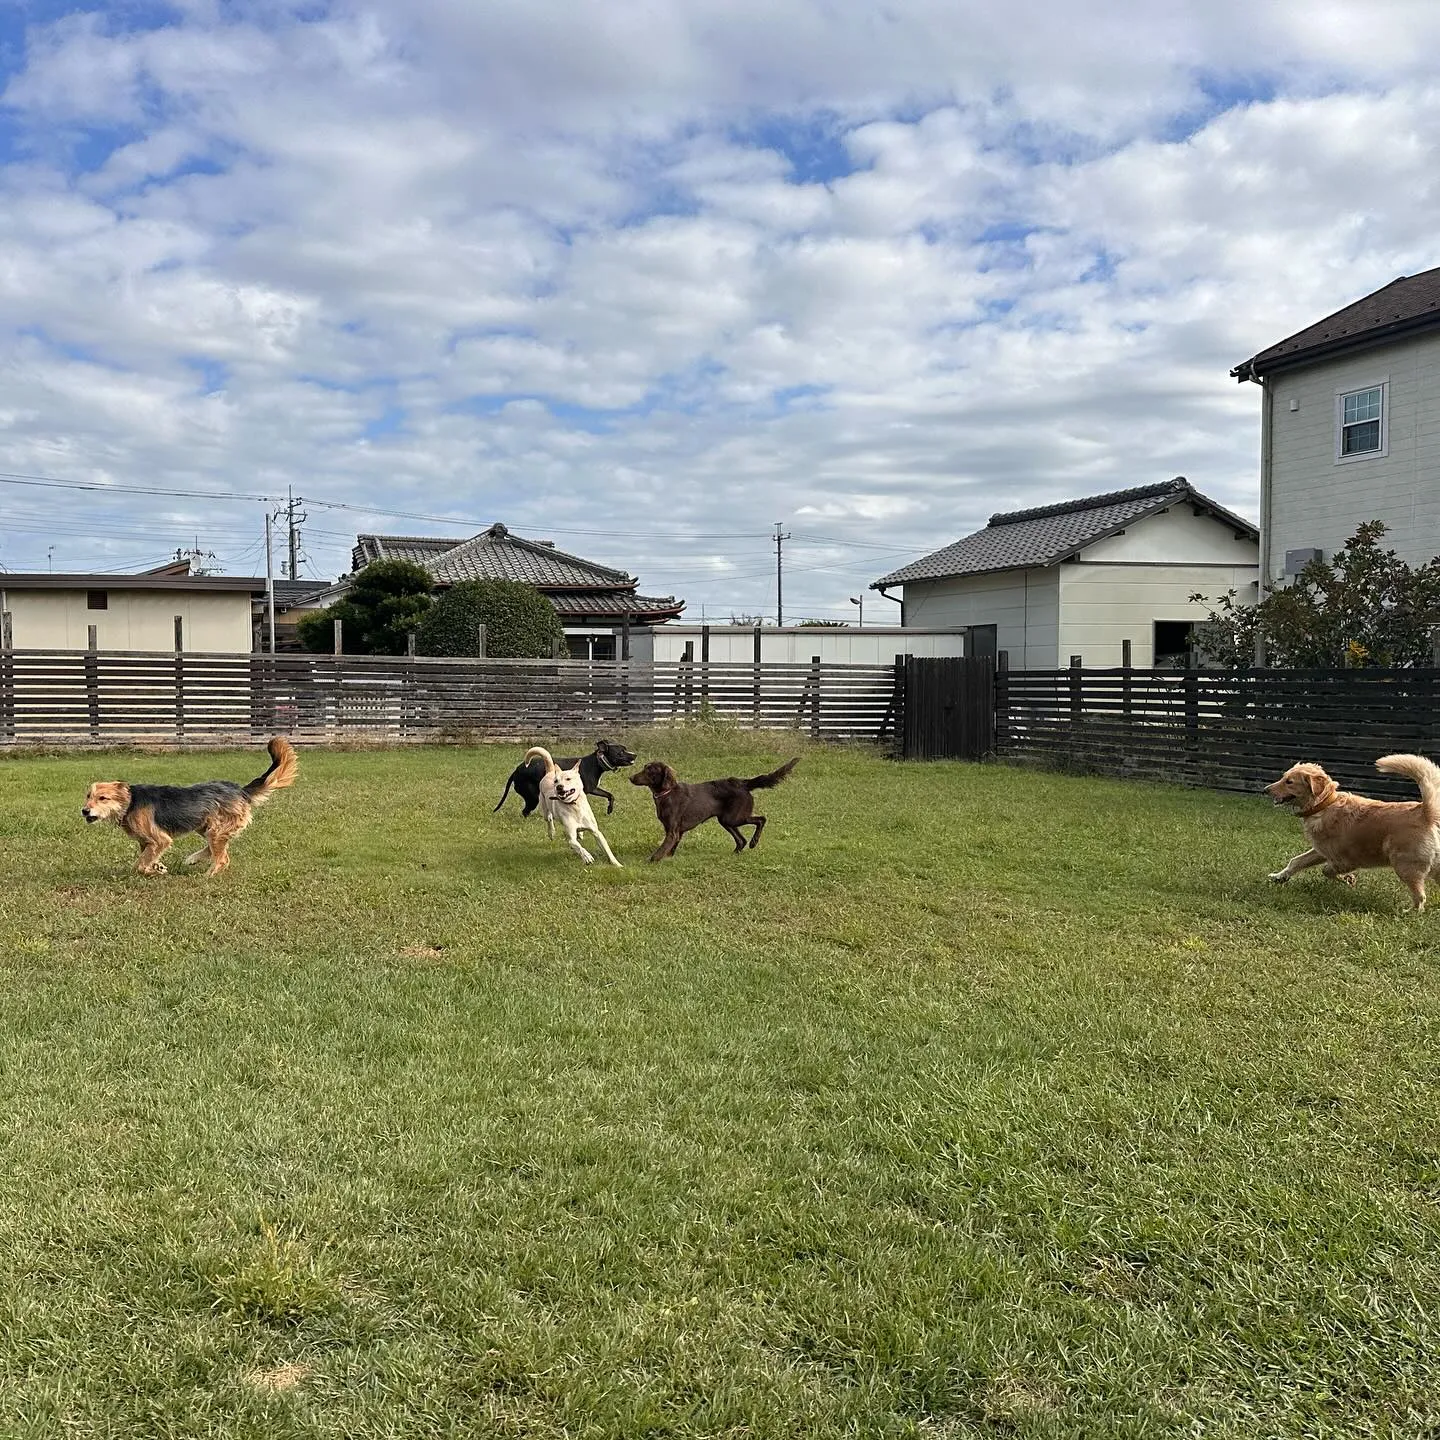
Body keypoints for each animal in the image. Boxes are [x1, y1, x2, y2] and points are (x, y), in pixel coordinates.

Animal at [81, 731, 300, 875]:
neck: (130, 803)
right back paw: (193, 859)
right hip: (207, 827)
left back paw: (208, 876)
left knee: (222, 858)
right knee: (220, 851)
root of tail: (241, 790)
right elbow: (148, 856)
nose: (84, 811)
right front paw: (158, 866)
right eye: (88, 796)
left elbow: (140, 865)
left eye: (103, 798)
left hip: (215, 830)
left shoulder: (160, 839)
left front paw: (153, 871)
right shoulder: (146, 842)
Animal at [492, 737, 633, 817]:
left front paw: (610, 809)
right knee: (525, 811)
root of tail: (516, 771)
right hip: (532, 797)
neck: (597, 762)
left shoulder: (594, 789)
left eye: (625, 749)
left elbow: (610, 795)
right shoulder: (588, 791)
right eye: (621, 752)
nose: (635, 755)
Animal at [627, 760, 800, 858]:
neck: (666, 793)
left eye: (650, 770)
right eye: (644, 768)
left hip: (734, 817)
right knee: (741, 840)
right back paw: (736, 853)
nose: (630, 777)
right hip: (726, 820)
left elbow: (660, 851)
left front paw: (651, 861)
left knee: (761, 819)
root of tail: (742, 783)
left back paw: (754, 842)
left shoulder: (672, 832)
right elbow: (670, 849)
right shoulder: (677, 832)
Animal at [1261, 754, 1440, 910]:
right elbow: (1297, 861)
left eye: (1289, 782)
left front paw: (1347, 879)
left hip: (1405, 865)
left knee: (1420, 896)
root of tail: (1424, 812)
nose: (1265, 790)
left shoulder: (1345, 860)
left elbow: (1327, 870)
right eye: (1283, 778)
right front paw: (1279, 877)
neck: (1324, 805)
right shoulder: (1321, 850)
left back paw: (1409, 912)